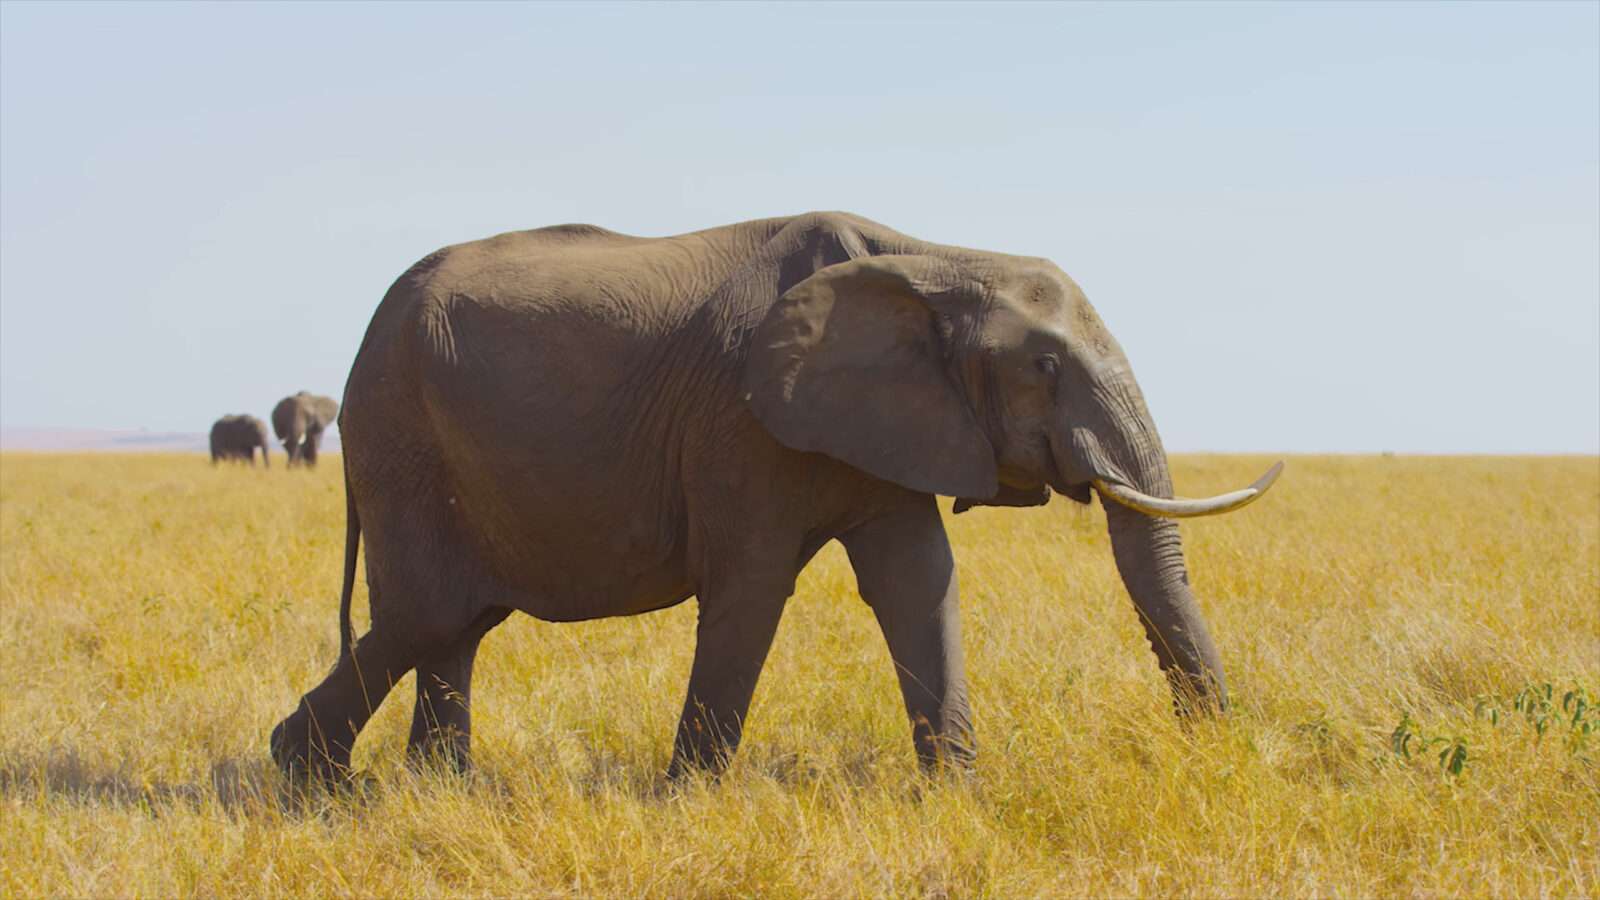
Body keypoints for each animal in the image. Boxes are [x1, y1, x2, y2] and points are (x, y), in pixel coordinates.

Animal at [268, 208, 1280, 778]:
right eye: (1044, 366)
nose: (1207, 753)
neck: (934, 259)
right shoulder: (741, 421)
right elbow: (751, 588)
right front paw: (688, 799)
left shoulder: (889, 421)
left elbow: (918, 581)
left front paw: (956, 792)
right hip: (399, 433)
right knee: (431, 615)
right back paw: (311, 782)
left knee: (457, 624)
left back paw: (430, 791)